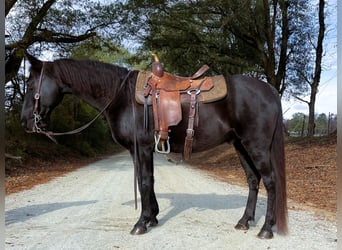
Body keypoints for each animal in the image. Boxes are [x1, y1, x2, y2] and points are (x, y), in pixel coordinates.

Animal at [20, 53, 288, 239]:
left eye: (31, 86)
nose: (25, 122)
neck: (121, 96)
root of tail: (269, 89)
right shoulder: (140, 150)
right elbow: (147, 180)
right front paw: (152, 217)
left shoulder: (142, 148)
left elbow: (144, 181)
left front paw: (141, 223)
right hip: (240, 146)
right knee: (253, 180)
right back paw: (245, 221)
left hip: (256, 145)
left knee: (270, 181)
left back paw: (266, 229)